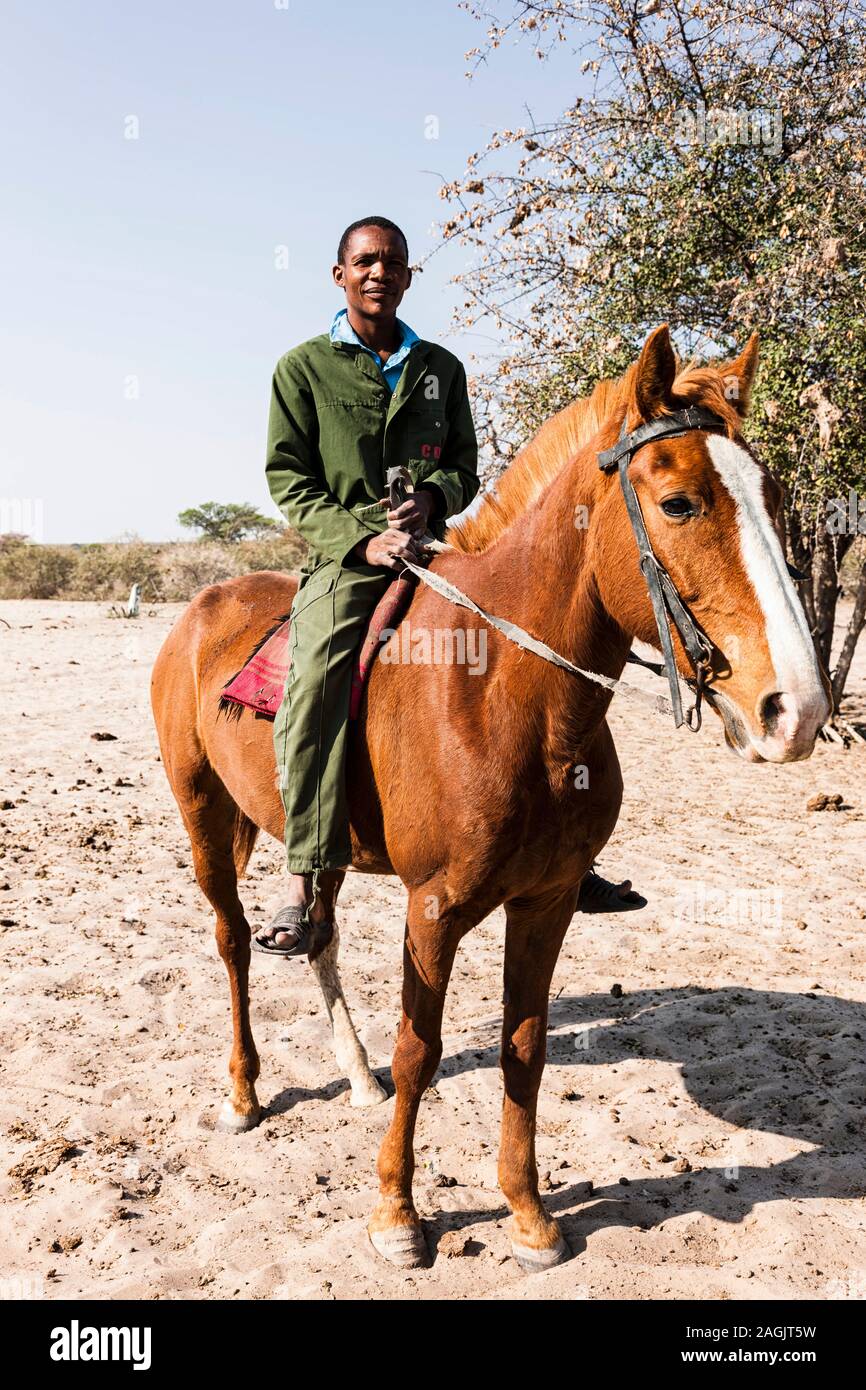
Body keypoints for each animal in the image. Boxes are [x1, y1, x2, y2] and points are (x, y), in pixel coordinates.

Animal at [152, 328, 828, 1273]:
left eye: (773, 497)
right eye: (680, 503)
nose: (796, 710)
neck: (508, 694)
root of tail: (206, 604)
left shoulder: (547, 902)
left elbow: (523, 1047)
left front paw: (528, 1213)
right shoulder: (432, 909)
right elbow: (422, 1048)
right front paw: (397, 1214)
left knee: (318, 937)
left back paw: (354, 1074)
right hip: (204, 816)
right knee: (233, 942)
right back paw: (246, 1094)